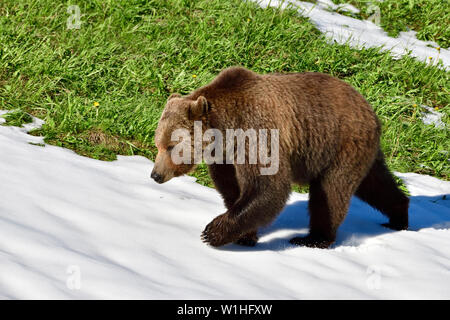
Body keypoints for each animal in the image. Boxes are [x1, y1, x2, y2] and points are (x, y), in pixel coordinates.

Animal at [150, 67, 408, 248]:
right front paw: (245, 235)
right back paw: (399, 216)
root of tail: (370, 110)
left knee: (331, 192)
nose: (155, 174)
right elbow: (232, 189)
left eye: (171, 146)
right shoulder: (225, 157)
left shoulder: (256, 133)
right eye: (158, 144)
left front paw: (212, 232)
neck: (225, 131)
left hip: (339, 146)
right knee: (375, 184)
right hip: (360, 152)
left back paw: (313, 238)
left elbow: (269, 186)